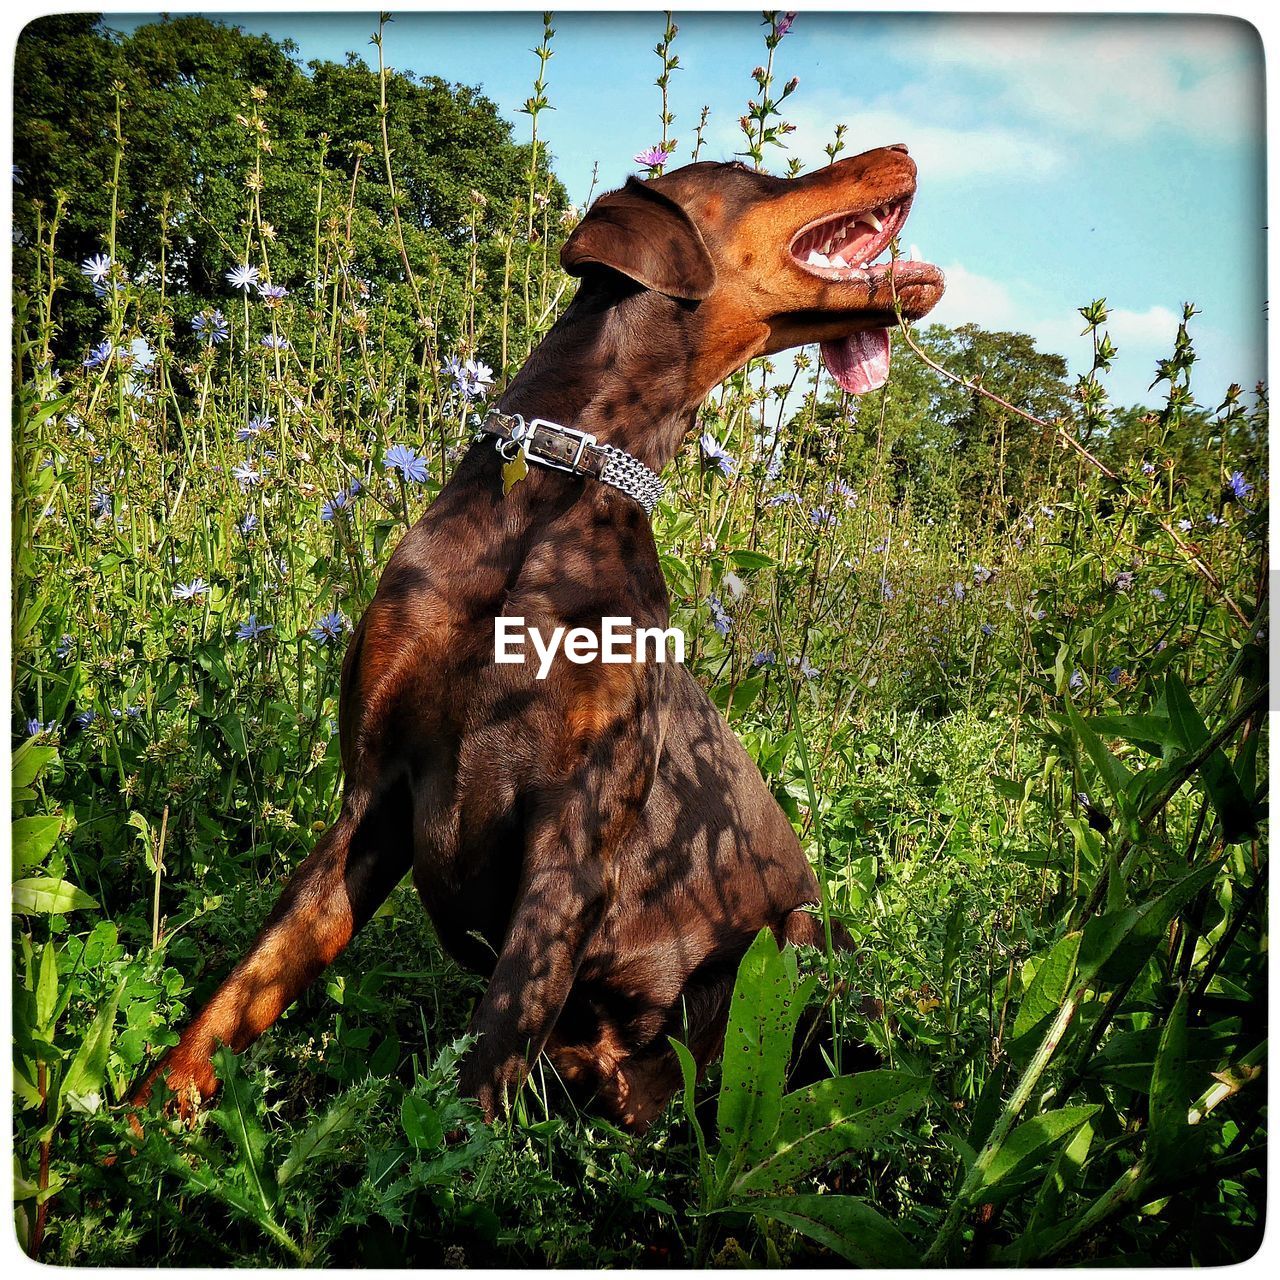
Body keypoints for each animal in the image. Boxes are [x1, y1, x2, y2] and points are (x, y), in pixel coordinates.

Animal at [135, 147, 947, 1131]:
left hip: (803, 935)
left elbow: (489, 1052)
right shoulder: (372, 796)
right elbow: (244, 987)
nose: (904, 148)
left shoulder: (577, 828)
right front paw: (141, 1119)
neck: (564, 484)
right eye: (751, 172)